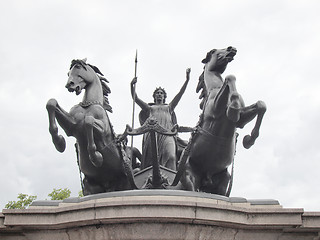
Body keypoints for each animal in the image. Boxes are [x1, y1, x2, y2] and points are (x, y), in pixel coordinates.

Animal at [46, 59, 135, 195]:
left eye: (78, 67)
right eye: (68, 73)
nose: (69, 85)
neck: (88, 104)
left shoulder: (103, 132)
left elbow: (88, 121)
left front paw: (96, 157)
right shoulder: (71, 127)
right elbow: (51, 103)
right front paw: (59, 142)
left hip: (125, 184)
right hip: (90, 187)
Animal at [179, 46, 266, 195]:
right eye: (213, 51)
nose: (232, 48)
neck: (216, 88)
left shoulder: (241, 120)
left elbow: (261, 105)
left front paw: (249, 140)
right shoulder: (216, 109)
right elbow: (229, 77)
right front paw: (232, 108)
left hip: (223, 181)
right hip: (190, 176)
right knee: (192, 190)